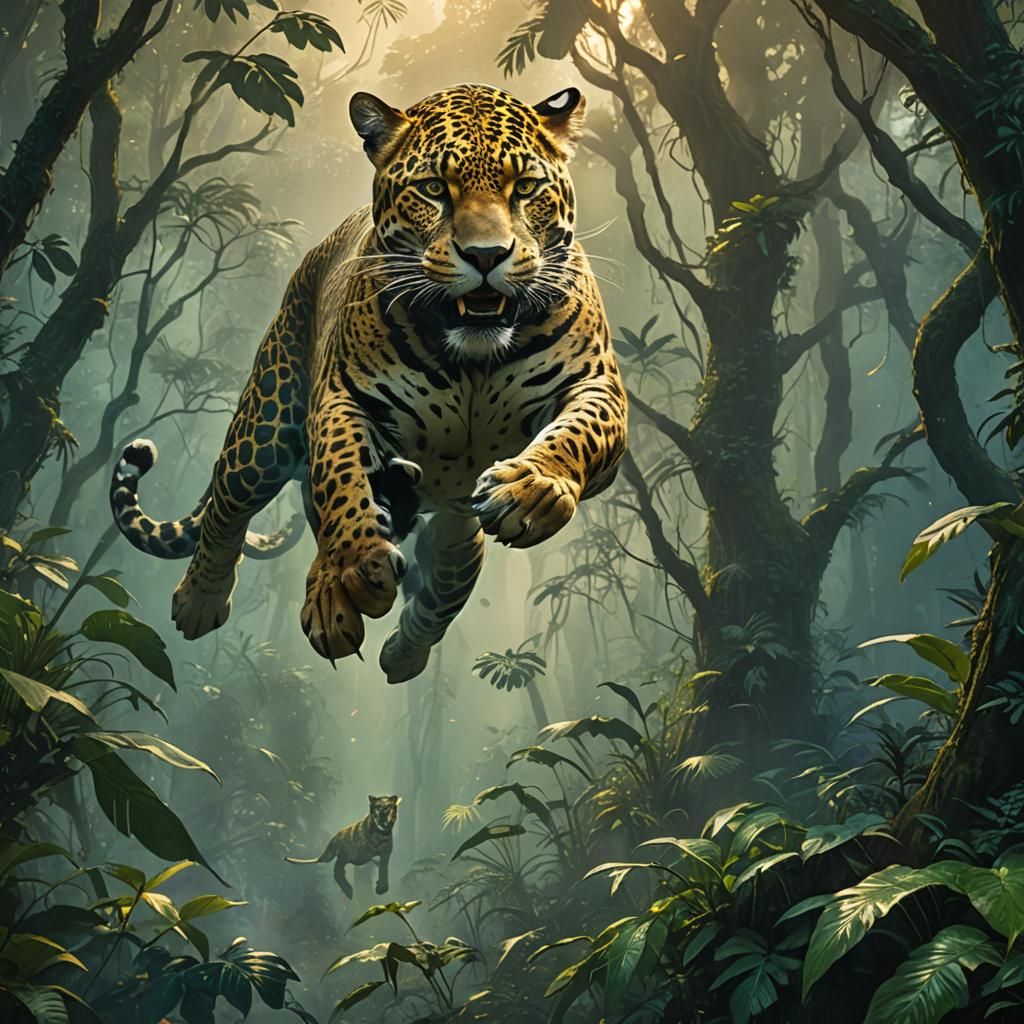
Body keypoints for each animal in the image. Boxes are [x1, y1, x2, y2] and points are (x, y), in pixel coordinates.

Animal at [109, 83, 628, 683]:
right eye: (434, 189)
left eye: (524, 188)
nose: (486, 256)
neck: (472, 359)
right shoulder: (344, 399)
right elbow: (340, 474)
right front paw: (354, 565)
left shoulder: (595, 385)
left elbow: (578, 433)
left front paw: (531, 490)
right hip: (264, 429)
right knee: (228, 504)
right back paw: (209, 599)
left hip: (457, 536)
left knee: (439, 594)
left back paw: (400, 650)